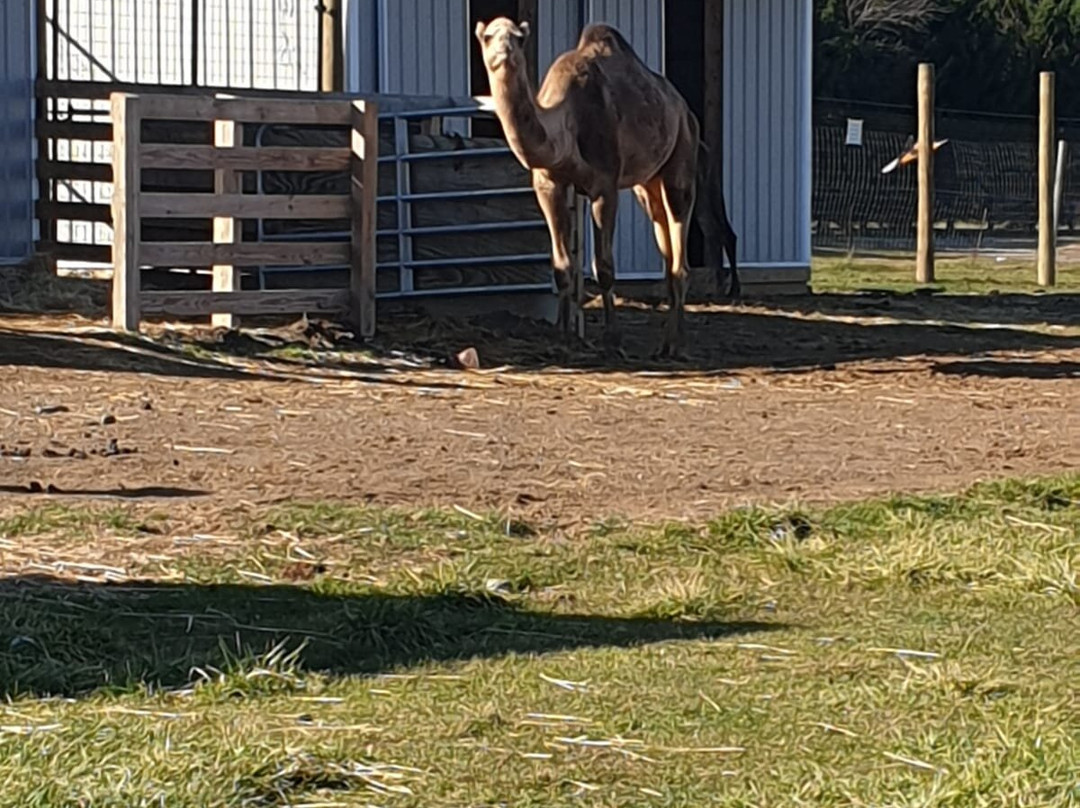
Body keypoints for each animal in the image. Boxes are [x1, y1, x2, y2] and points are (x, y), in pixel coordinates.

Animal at [475, 14, 738, 356]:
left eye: (518, 38)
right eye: (488, 37)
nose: (504, 52)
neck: (565, 123)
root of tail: (685, 110)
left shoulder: (605, 185)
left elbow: (604, 266)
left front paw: (612, 338)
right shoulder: (549, 184)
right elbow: (562, 265)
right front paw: (562, 337)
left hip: (682, 154)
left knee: (680, 239)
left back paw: (673, 344)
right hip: (647, 185)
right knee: (665, 244)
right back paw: (671, 338)